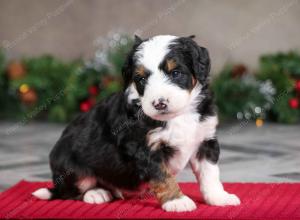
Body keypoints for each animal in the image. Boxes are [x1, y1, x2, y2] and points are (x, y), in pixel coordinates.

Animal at [32, 35, 240, 212]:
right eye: (141, 79)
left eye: (175, 73)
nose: (159, 103)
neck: (178, 116)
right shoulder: (142, 147)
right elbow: (162, 176)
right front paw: (177, 201)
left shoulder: (205, 140)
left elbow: (210, 174)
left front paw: (219, 197)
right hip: (72, 167)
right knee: (69, 192)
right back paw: (96, 193)